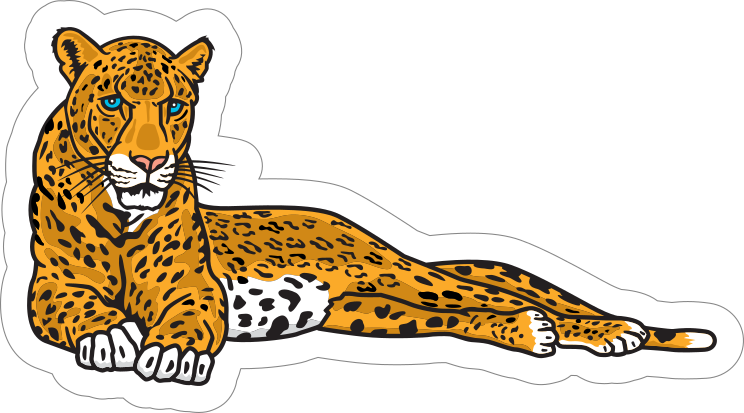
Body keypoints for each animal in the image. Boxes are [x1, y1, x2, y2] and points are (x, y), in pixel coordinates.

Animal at [28, 28, 716, 386]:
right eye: (112, 104)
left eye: (173, 107)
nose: (149, 163)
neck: (123, 216)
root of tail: (345, 223)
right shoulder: (50, 287)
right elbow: (78, 307)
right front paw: (110, 335)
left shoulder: (194, 287)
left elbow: (188, 318)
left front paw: (175, 354)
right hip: (371, 312)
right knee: (469, 313)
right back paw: (530, 332)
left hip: (394, 276)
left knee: (502, 288)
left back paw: (613, 330)